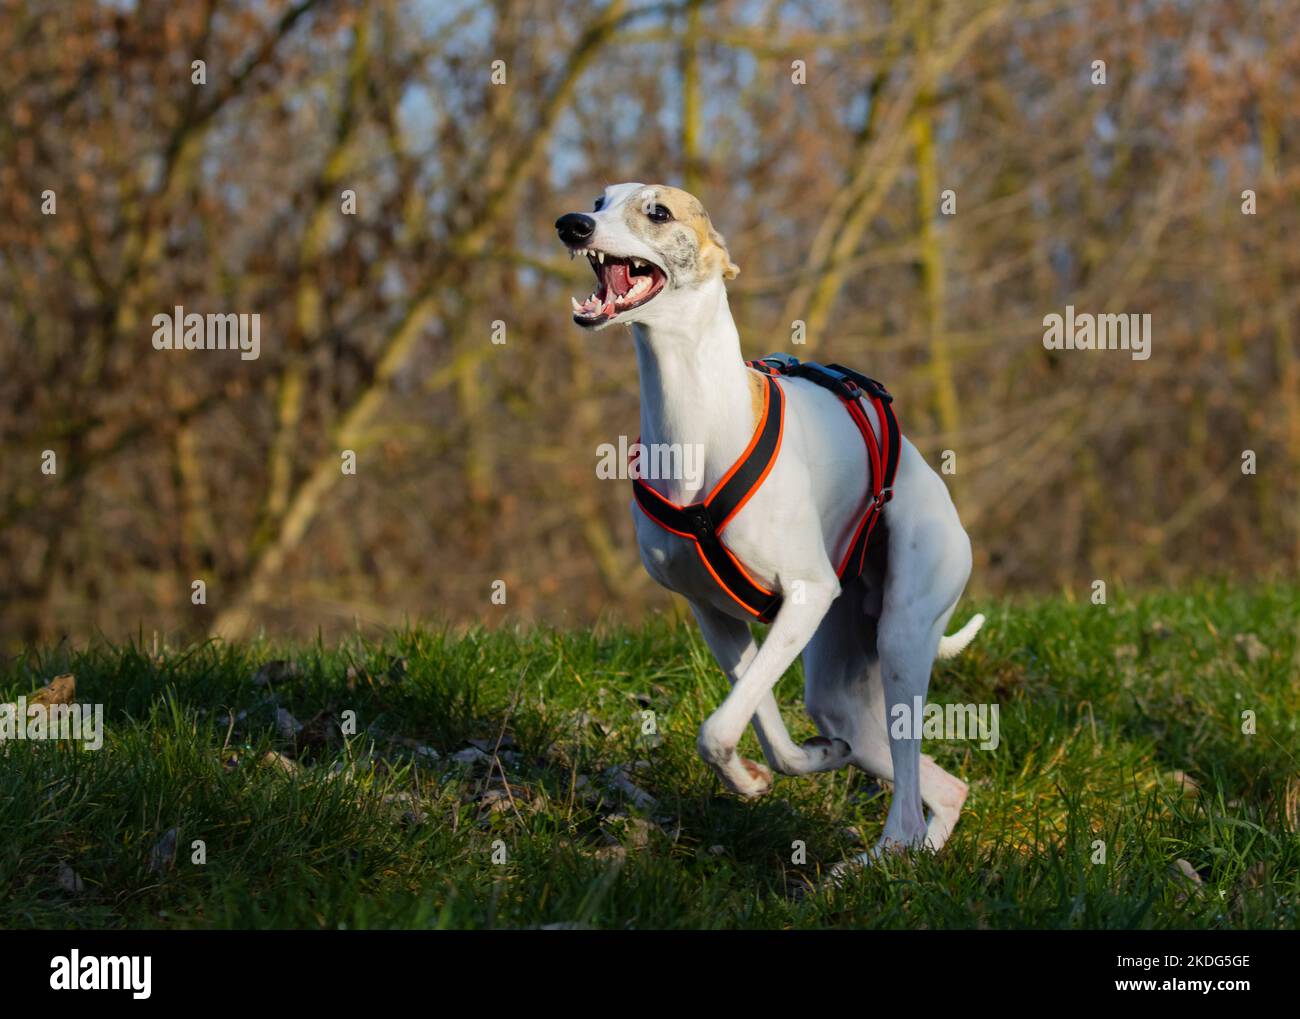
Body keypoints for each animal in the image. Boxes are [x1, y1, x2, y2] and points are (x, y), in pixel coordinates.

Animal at [553, 180, 977, 868]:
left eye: (657, 211)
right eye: (598, 200)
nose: (571, 225)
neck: (694, 424)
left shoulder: (806, 594)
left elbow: (717, 727)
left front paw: (753, 772)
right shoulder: (715, 615)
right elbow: (760, 722)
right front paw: (773, 771)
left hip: (902, 639)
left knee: (910, 797)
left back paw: (881, 859)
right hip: (840, 683)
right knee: (941, 783)